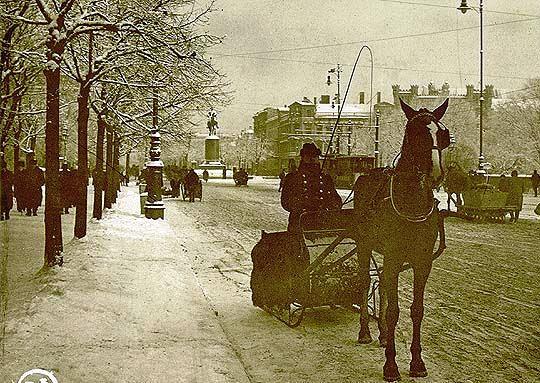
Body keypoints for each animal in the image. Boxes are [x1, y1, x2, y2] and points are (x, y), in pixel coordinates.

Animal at [354, 98, 452, 380]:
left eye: (443, 135)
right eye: (414, 133)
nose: (435, 174)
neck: (412, 203)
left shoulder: (422, 261)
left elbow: (416, 310)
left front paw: (417, 362)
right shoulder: (393, 256)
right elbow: (393, 311)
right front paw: (391, 365)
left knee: (383, 285)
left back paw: (384, 335)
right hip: (364, 245)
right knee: (366, 282)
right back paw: (366, 332)